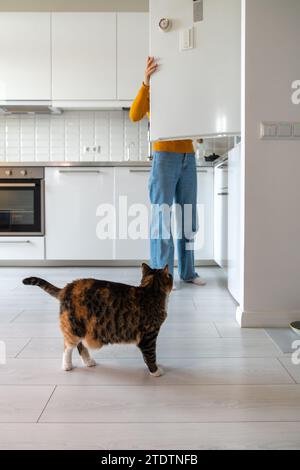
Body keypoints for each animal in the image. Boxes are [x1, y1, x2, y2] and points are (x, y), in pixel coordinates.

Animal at [22, 264, 172, 378]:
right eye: (170, 275)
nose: (171, 276)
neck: (151, 290)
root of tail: (66, 288)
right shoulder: (149, 336)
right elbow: (150, 355)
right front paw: (156, 371)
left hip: (82, 326)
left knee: (80, 345)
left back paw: (88, 361)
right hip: (74, 327)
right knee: (68, 346)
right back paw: (67, 366)